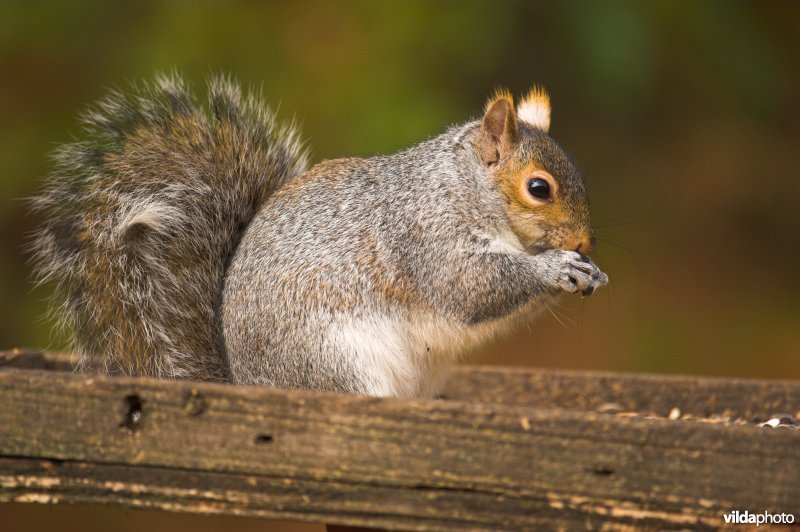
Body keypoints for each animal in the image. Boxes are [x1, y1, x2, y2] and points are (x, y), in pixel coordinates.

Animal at [29, 72, 608, 396]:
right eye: (539, 188)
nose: (583, 243)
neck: (463, 188)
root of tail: (247, 384)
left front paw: (587, 271)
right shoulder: (426, 235)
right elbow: (470, 287)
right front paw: (556, 267)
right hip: (336, 362)